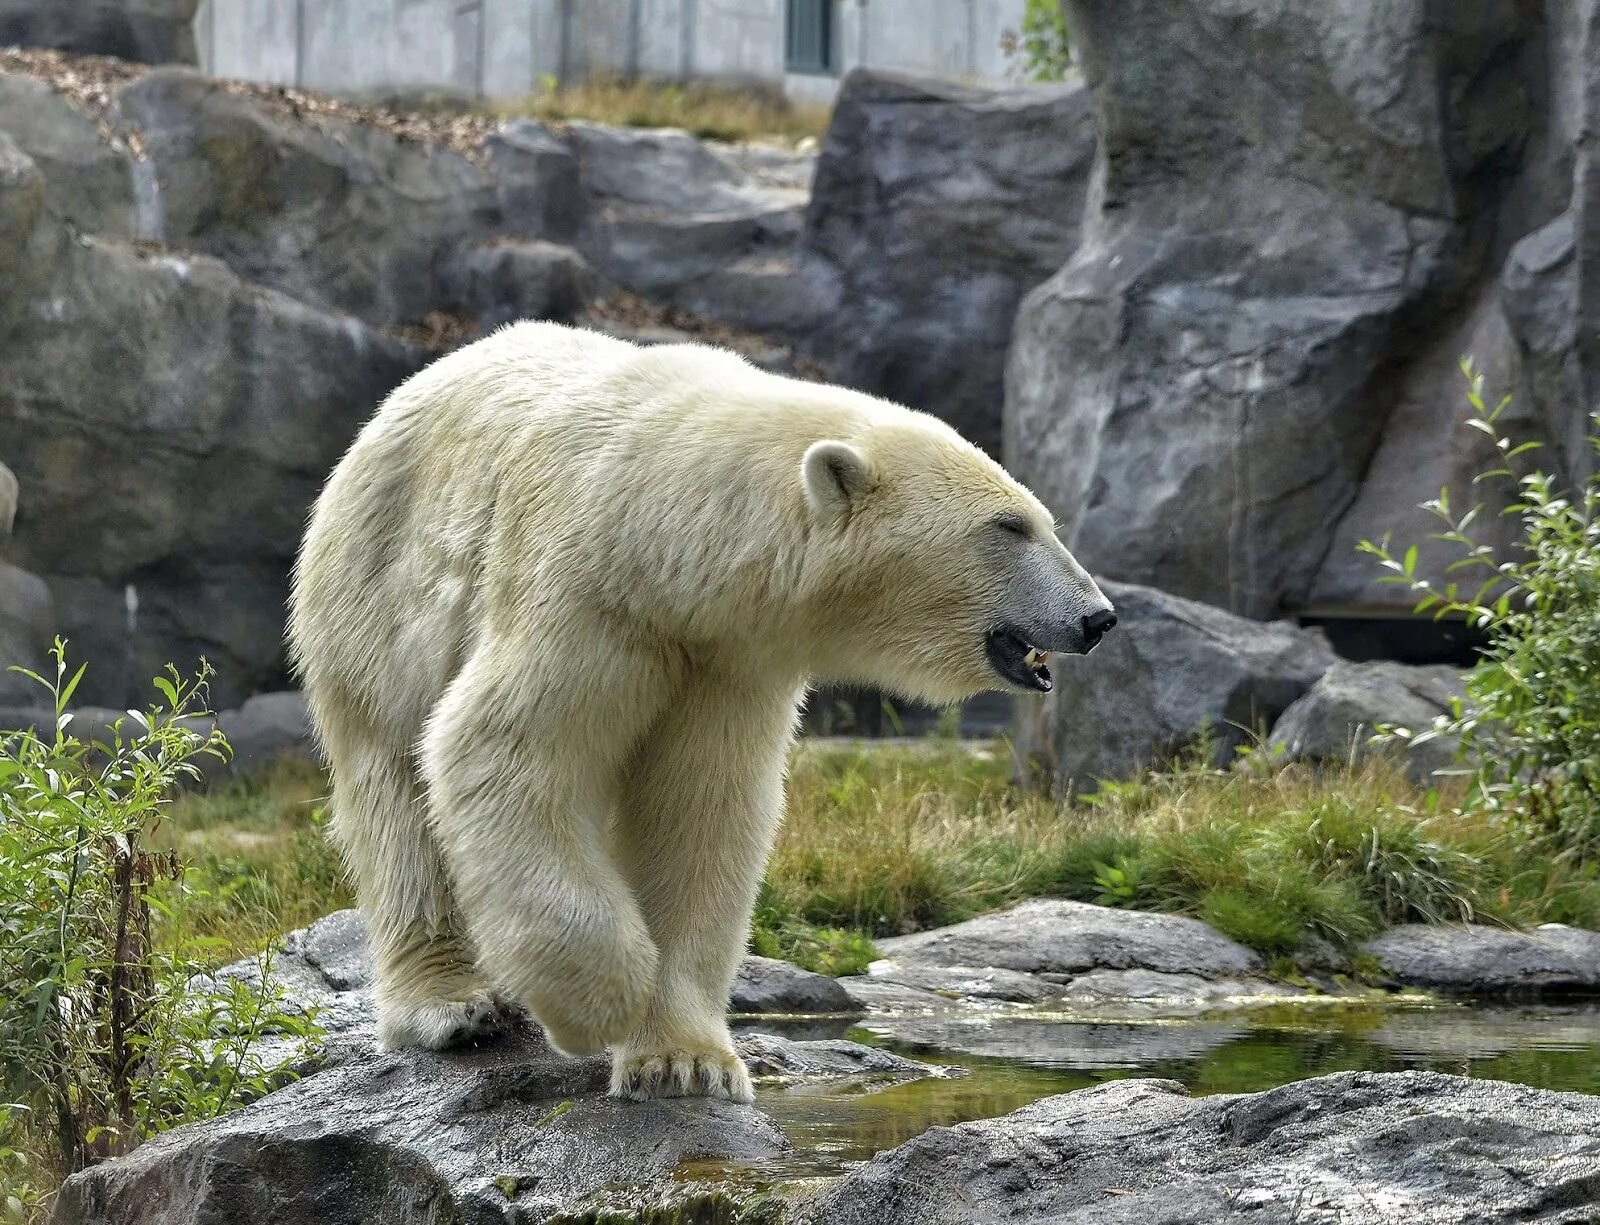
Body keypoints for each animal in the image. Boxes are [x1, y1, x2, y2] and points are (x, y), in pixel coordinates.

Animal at [288, 323, 1113, 1100]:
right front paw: (598, 1004)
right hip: (372, 598)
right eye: (1009, 526)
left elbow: (699, 810)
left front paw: (684, 1062)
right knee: (395, 795)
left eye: (1040, 519)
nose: (1099, 617)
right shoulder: (587, 596)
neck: (669, 536)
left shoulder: (728, 659)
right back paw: (451, 1006)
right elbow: (503, 750)